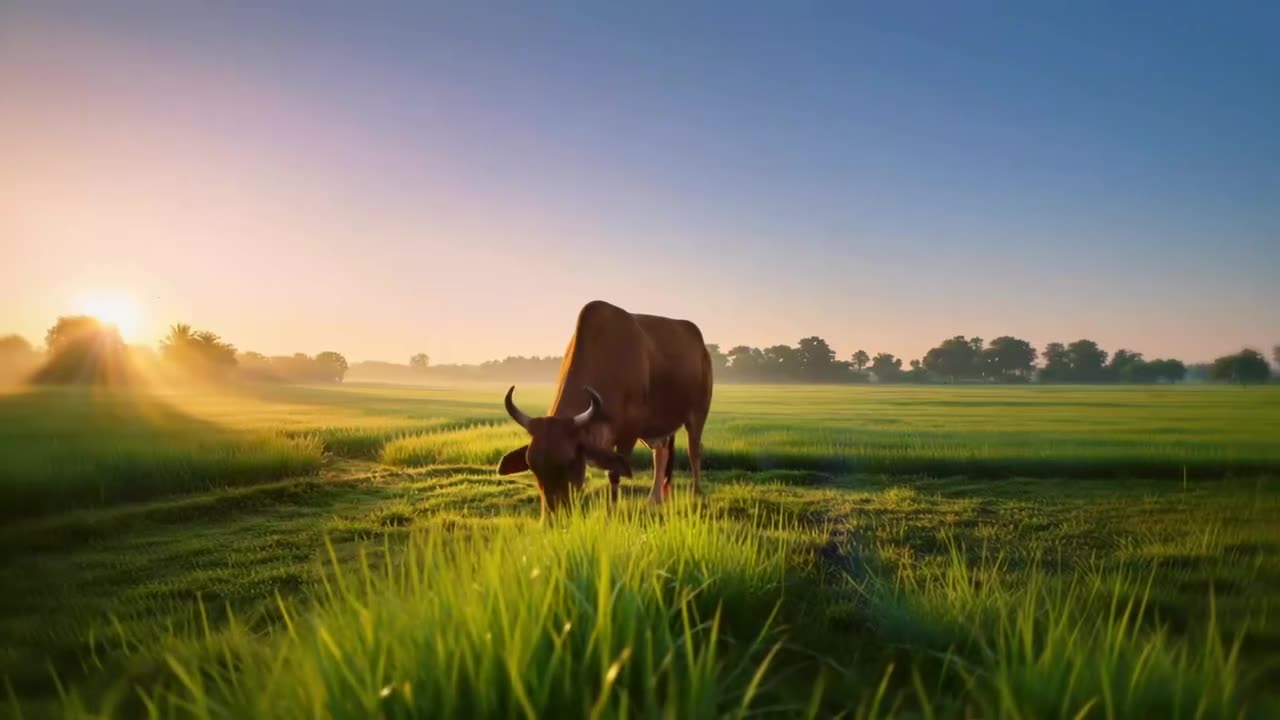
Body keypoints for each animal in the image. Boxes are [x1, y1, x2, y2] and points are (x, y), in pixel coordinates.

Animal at [497, 300, 713, 517]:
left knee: (694, 450)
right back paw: (654, 498)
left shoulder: (629, 433)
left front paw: (612, 510)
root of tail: (701, 345)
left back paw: (696, 492)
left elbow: (615, 473)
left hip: (698, 413)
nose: (553, 516)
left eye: (569, 462)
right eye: (532, 466)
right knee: (661, 453)